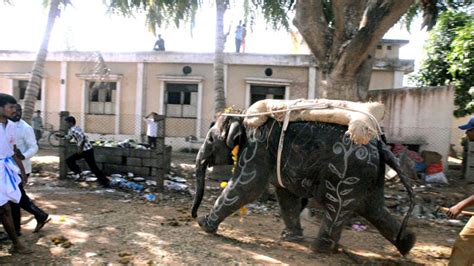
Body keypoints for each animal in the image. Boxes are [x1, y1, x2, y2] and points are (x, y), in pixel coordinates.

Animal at [192, 113, 414, 255]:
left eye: (210, 139)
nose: (193, 216)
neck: (242, 117)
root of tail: (380, 144)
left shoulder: (255, 148)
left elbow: (248, 186)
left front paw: (204, 225)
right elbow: (285, 194)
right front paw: (290, 238)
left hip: (347, 173)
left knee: (338, 205)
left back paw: (319, 249)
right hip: (371, 175)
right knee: (375, 209)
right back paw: (407, 243)